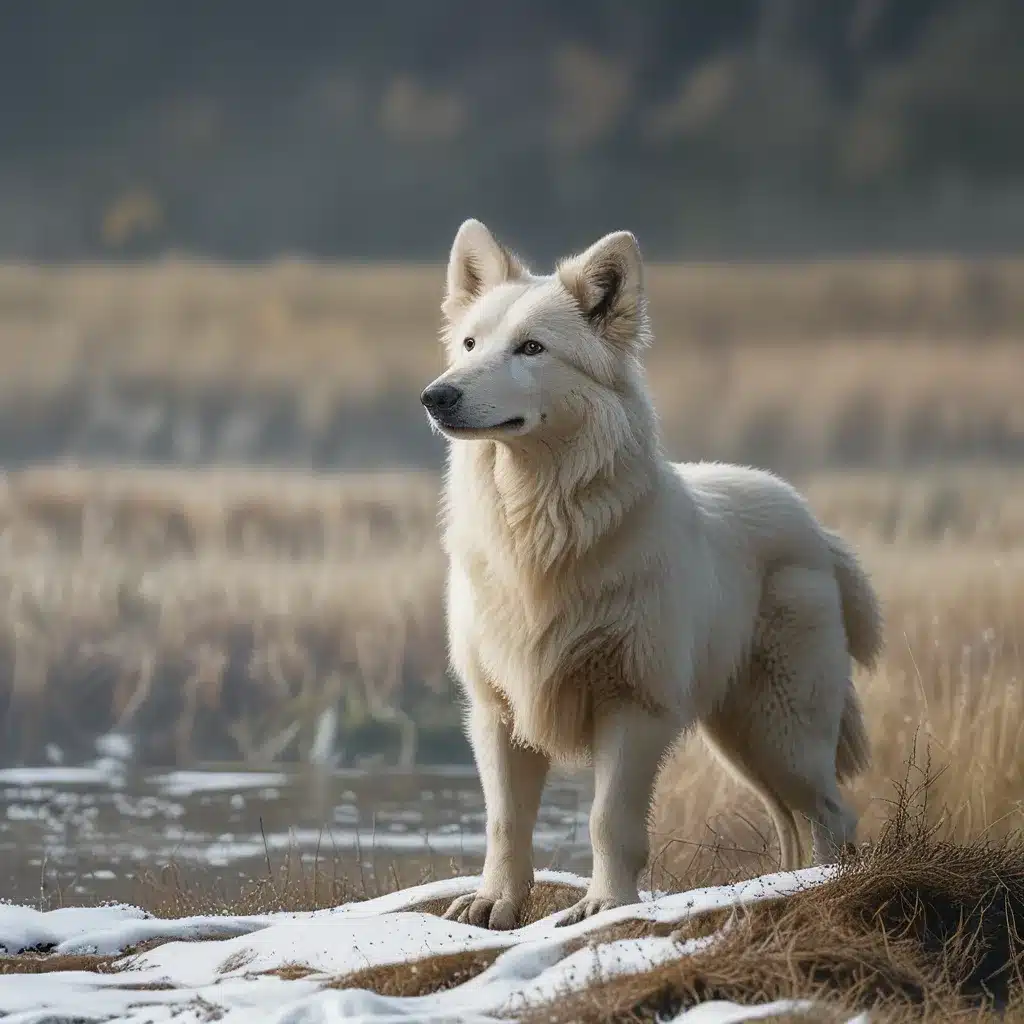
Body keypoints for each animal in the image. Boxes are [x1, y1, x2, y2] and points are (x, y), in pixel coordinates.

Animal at [419, 220, 884, 933]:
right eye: (470, 343)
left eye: (531, 348)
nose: (436, 396)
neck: (540, 527)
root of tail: (812, 523)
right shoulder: (497, 710)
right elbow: (505, 822)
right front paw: (494, 904)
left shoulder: (633, 705)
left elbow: (607, 820)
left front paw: (605, 908)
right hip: (740, 742)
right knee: (791, 820)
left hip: (783, 733)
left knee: (835, 814)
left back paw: (819, 888)